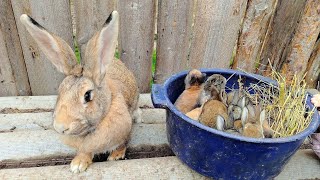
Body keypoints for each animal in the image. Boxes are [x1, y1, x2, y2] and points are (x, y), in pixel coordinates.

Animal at [20, 10, 139, 173]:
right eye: (60, 90)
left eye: (87, 95)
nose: (60, 127)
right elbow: (85, 151)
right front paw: (78, 164)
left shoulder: (125, 131)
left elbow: (123, 143)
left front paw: (116, 155)